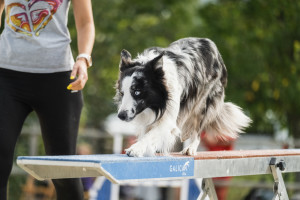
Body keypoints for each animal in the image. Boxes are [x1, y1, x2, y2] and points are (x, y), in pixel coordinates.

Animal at [114, 37, 251, 156]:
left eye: (137, 92)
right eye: (122, 93)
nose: (121, 116)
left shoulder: (169, 118)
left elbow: (151, 134)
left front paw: (136, 149)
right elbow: (147, 133)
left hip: (203, 104)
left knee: (198, 130)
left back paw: (190, 148)